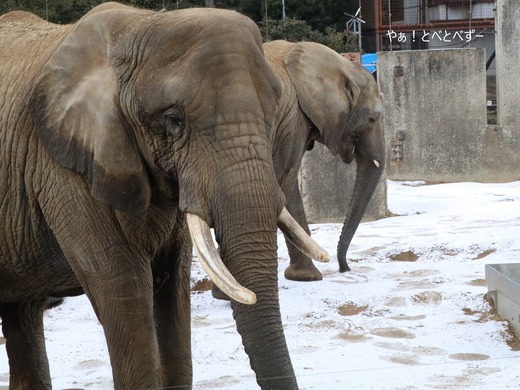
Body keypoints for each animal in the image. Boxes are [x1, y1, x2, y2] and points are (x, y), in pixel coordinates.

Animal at [0, 3, 324, 390]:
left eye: (273, 113)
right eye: (174, 120)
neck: (138, 24)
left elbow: (173, 294)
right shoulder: (62, 170)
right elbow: (124, 291)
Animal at [268, 39, 386, 278]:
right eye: (372, 119)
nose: (345, 268)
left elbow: (290, 190)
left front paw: (304, 277)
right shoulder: (292, 121)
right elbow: (285, 182)